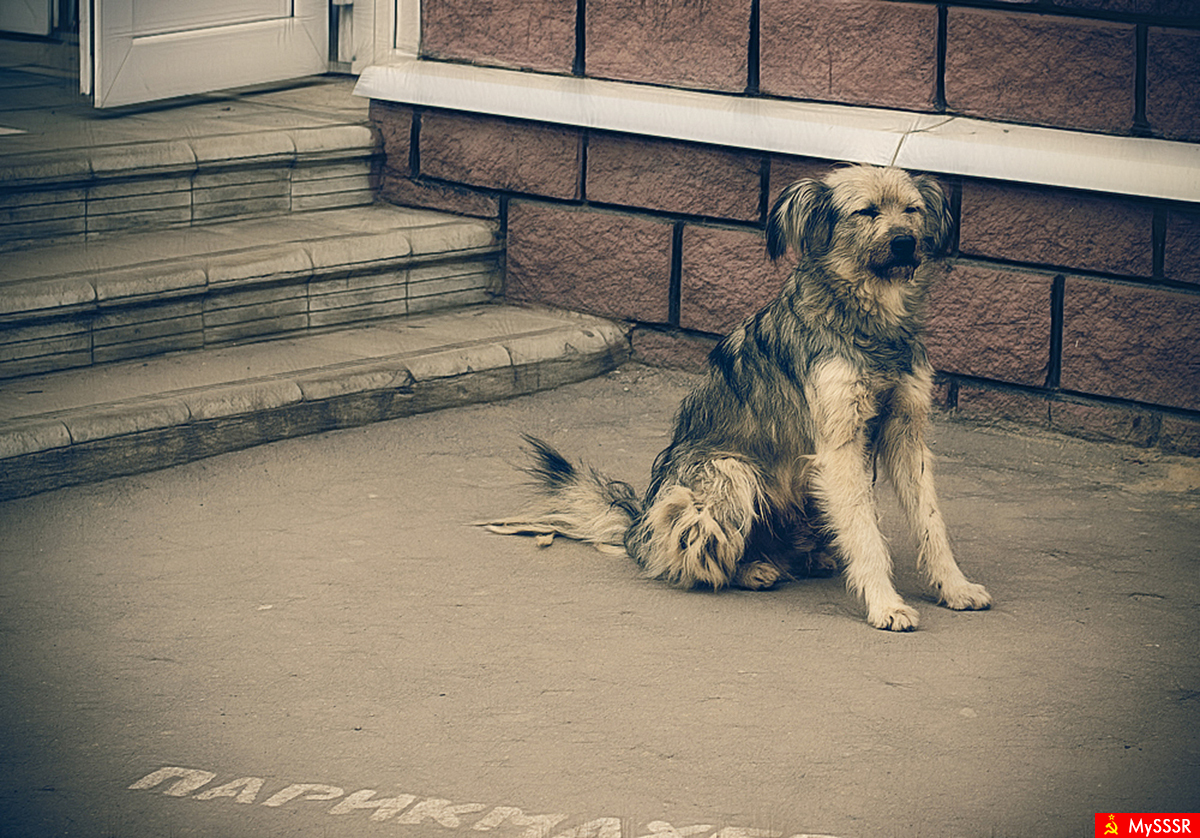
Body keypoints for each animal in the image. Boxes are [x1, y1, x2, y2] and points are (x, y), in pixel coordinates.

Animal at [484, 165, 991, 631]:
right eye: (866, 212)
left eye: (913, 210)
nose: (906, 242)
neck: (871, 319)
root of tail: (636, 526)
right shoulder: (839, 447)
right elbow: (866, 534)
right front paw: (885, 604)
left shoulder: (905, 434)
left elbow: (930, 521)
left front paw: (954, 587)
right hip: (727, 474)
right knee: (694, 556)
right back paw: (751, 570)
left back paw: (809, 559)